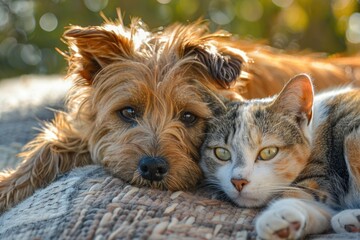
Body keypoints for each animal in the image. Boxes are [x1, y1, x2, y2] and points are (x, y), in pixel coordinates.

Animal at [200, 74, 360, 239]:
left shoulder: (320, 174)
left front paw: (277, 215)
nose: (238, 182)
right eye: (222, 153)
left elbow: (295, 193)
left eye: (268, 152)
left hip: (352, 139)